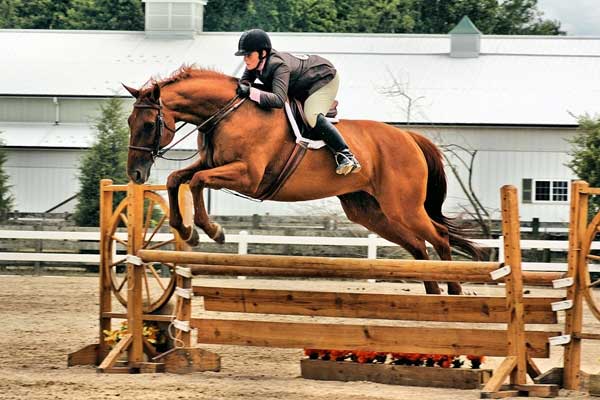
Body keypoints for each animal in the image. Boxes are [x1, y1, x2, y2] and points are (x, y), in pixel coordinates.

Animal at [124, 67, 480, 296]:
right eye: (130, 121)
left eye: (147, 124)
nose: (136, 175)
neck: (227, 113)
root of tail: (409, 137)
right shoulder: (214, 164)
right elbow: (177, 178)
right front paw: (186, 231)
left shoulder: (246, 176)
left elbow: (197, 181)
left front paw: (212, 231)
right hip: (371, 212)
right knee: (418, 246)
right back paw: (433, 294)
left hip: (403, 207)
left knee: (440, 236)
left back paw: (454, 290)